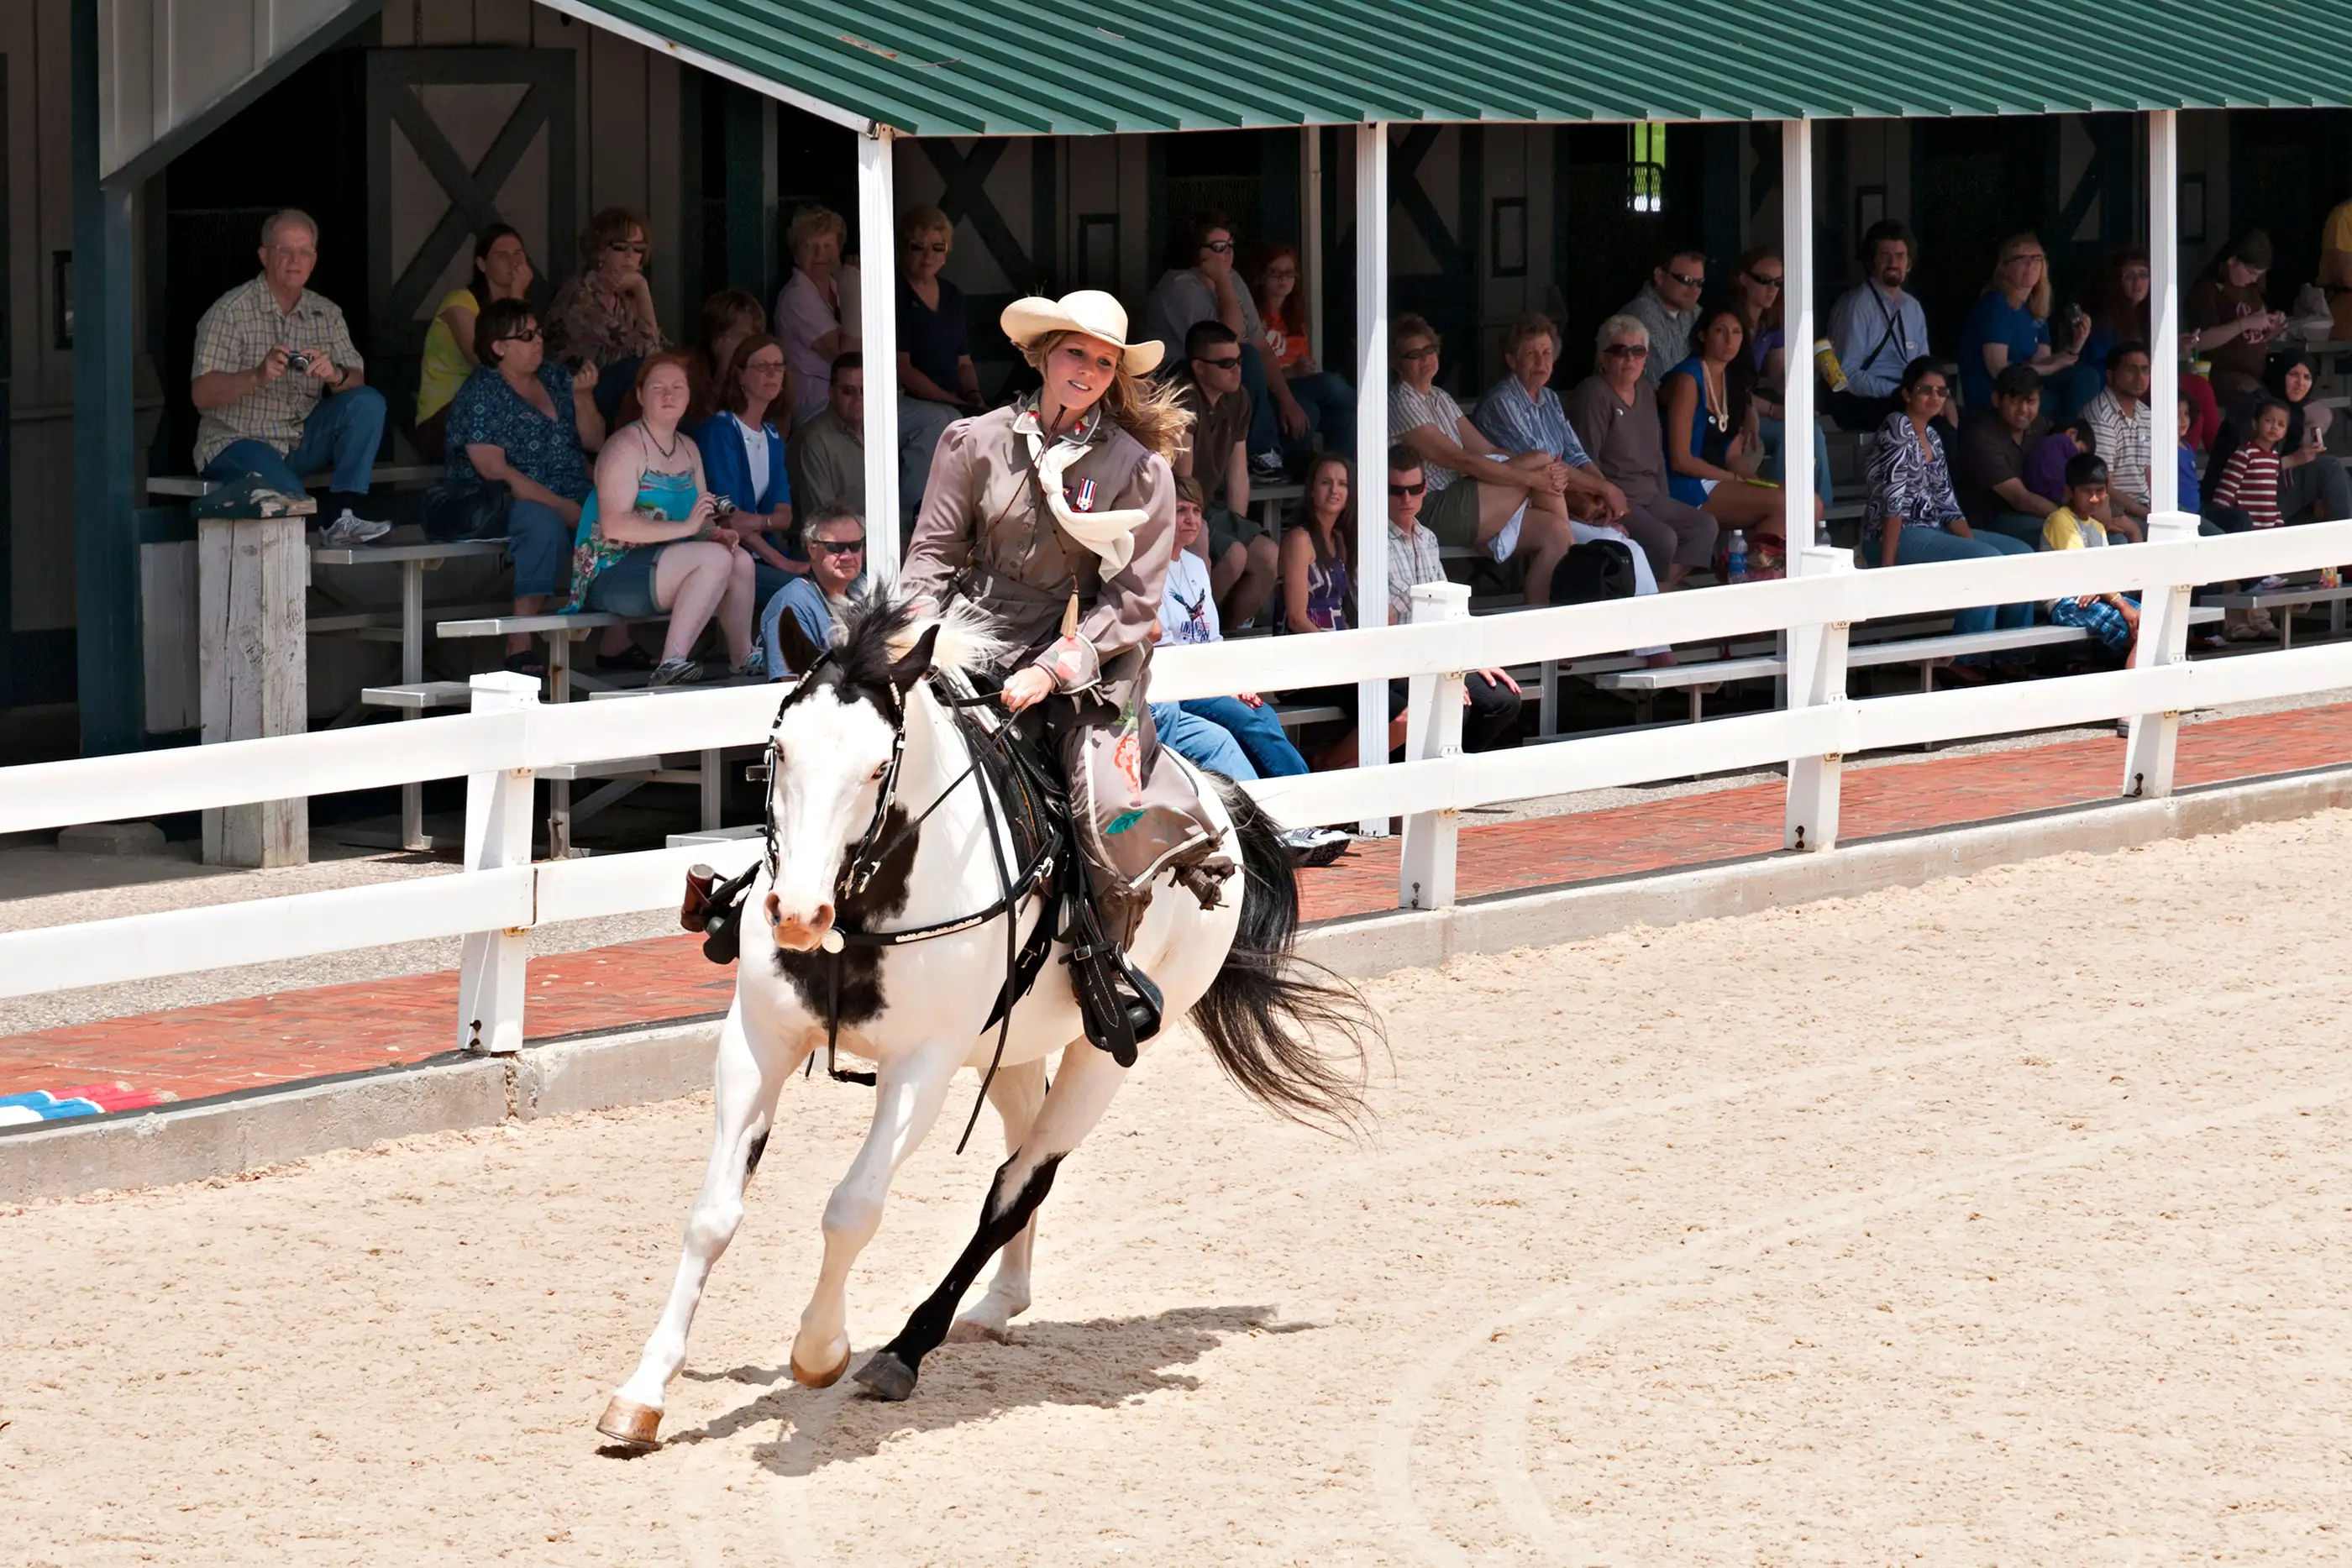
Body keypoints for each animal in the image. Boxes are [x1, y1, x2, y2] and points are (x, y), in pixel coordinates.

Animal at [597, 592, 1373, 1448]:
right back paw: (1001, 1301)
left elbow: (851, 1209)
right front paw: (643, 1392)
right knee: (1017, 1149)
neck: (864, 909)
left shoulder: (922, 1069)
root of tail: (1217, 805)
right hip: (1013, 1049)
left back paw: (906, 1348)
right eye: (778, 751)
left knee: (1019, 1183)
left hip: (1103, 1057)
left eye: (878, 767)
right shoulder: (756, 1044)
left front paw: (820, 1348)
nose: (798, 914)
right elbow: (712, 1216)